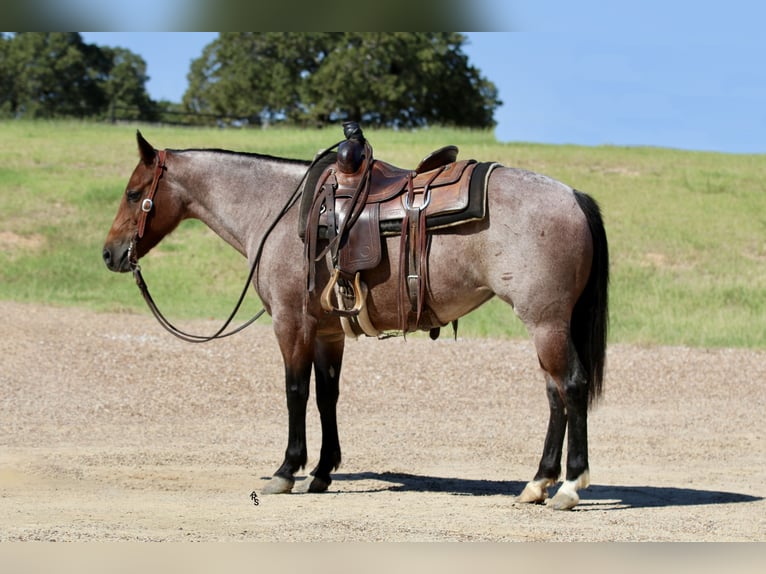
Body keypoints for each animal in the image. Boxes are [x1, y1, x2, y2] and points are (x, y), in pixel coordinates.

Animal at [102, 130, 608, 510]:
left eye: (133, 193)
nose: (109, 254)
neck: (278, 212)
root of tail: (573, 196)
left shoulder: (291, 323)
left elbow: (295, 392)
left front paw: (286, 471)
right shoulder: (328, 332)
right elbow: (328, 396)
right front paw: (322, 472)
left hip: (546, 323)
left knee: (571, 386)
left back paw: (569, 486)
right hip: (547, 327)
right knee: (555, 395)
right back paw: (537, 483)